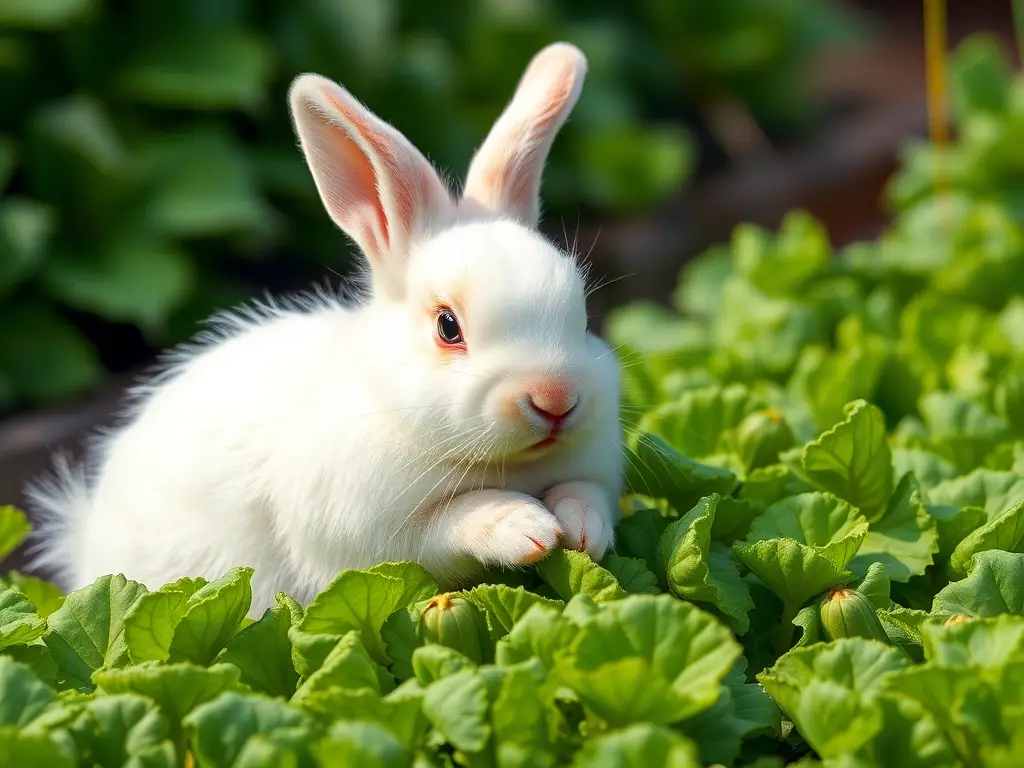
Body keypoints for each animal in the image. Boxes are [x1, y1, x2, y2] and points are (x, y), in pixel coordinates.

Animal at [26, 42, 623, 617]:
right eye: (448, 327)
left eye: (579, 312)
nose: (555, 399)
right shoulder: (374, 536)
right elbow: (453, 521)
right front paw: (524, 527)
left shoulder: (592, 470)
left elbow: (584, 491)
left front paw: (582, 531)